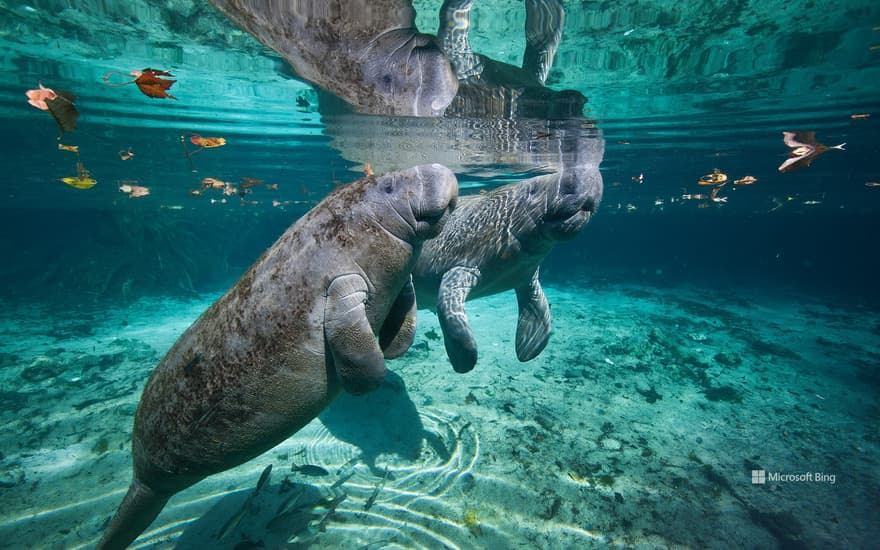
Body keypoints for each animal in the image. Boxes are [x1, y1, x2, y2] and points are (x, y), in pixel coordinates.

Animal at [97, 165, 458, 550]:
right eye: (389, 186)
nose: (439, 168)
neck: (368, 217)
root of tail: (140, 479)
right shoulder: (340, 290)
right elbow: (357, 347)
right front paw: (369, 381)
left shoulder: (400, 278)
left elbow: (406, 312)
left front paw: (395, 347)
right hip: (152, 476)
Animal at [414, 155, 604, 374]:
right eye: (533, 189)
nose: (584, 170)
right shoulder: (459, 268)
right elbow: (452, 316)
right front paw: (465, 362)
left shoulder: (526, 275)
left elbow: (538, 309)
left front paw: (528, 351)